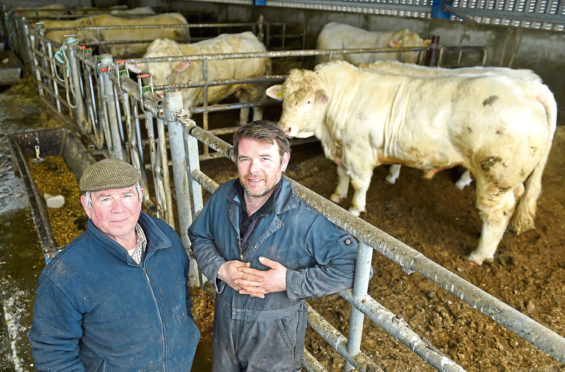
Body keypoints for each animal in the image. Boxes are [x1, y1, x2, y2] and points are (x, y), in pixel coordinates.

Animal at [129, 31, 270, 123]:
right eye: (150, 74)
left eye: (169, 73)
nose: (160, 94)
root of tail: (251, 36)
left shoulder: (188, 102)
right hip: (242, 86)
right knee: (244, 104)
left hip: (257, 85)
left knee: (258, 106)